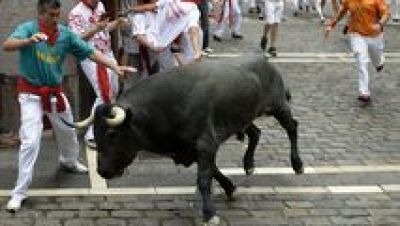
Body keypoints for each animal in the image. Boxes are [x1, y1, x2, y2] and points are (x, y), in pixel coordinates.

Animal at [66, 57, 304, 224]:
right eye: (96, 135)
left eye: (112, 134)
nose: (102, 171)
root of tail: (264, 61)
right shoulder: (191, 149)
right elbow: (213, 170)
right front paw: (230, 188)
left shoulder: (205, 144)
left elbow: (205, 178)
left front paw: (209, 214)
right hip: (243, 117)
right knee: (256, 133)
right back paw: (249, 164)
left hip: (278, 106)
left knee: (292, 127)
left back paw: (297, 164)